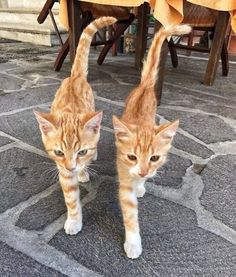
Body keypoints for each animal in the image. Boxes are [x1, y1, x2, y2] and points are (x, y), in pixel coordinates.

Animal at [34, 15, 117, 235]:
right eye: (59, 152)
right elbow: (71, 198)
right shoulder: (63, 171)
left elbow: (86, 158)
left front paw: (83, 169)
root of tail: (75, 76)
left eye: (81, 151)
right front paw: (74, 220)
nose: (71, 167)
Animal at [112, 24, 192, 258]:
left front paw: (141, 184)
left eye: (154, 158)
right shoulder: (124, 177)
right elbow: (130, 212)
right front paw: (133, 242)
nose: (143, 172)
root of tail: (146, 85)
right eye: (132, 157)